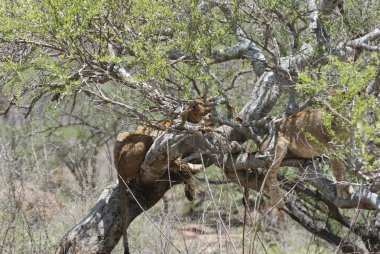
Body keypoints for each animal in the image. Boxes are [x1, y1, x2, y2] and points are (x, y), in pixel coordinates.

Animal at [114, 98, 212, 254]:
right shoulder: (171, 154)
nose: (212, 112)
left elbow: (187, 173)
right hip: (146, 141)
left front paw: (190, 192)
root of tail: (118, 168)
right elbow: (186, 168)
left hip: (122, 134)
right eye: (204, 103)